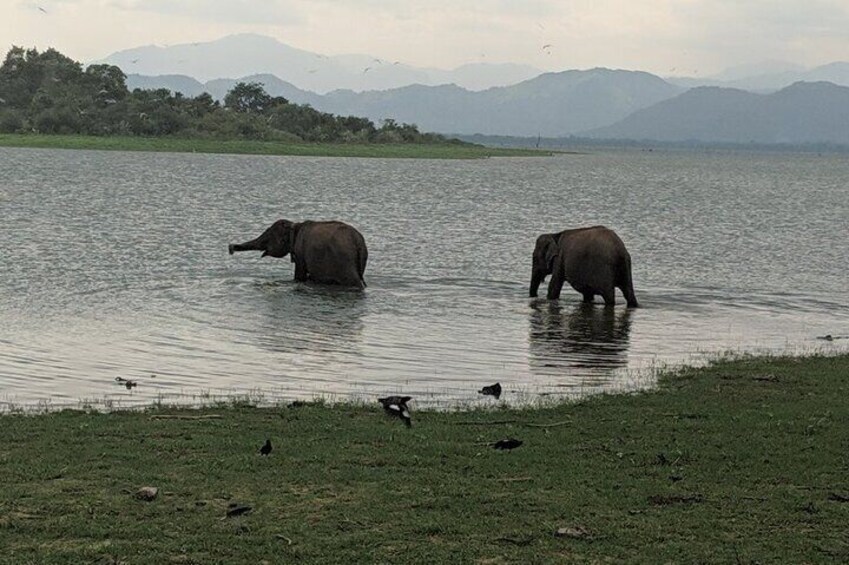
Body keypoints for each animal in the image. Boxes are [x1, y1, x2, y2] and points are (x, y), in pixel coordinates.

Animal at [229, 218, 368, 288]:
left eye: (267, 237)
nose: (230, 248)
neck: (295, 225)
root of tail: (358, 241)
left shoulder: (300, 250)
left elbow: (299, 274)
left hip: (345, 261)